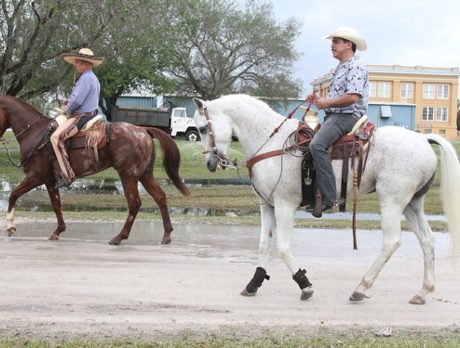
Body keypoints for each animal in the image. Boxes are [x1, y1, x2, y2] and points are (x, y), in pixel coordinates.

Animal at [0, 96, 189, 245]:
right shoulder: (49, 180)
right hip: (145, 174)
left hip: (128, 176)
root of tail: (143, 130)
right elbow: (56, 205)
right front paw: (58, 231)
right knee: (160, 197)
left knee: (135, 203)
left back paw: (119, 237)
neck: (36, 135)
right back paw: (166, 235)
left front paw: (10, 227)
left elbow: (14, 194)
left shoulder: (36, 176)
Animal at [193, 94, 460, 304]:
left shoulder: (284, 205)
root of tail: (423, 139)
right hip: (412, 204)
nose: (211, 163)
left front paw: (304, 284)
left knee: (391, 242)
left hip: (392, 201)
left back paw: (361, 288)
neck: (271, 141)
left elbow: (282, 247)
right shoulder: (267, 205)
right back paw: (423, 292)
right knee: (427, 241)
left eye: (204, 128)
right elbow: (263, 246)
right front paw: (253, 283)